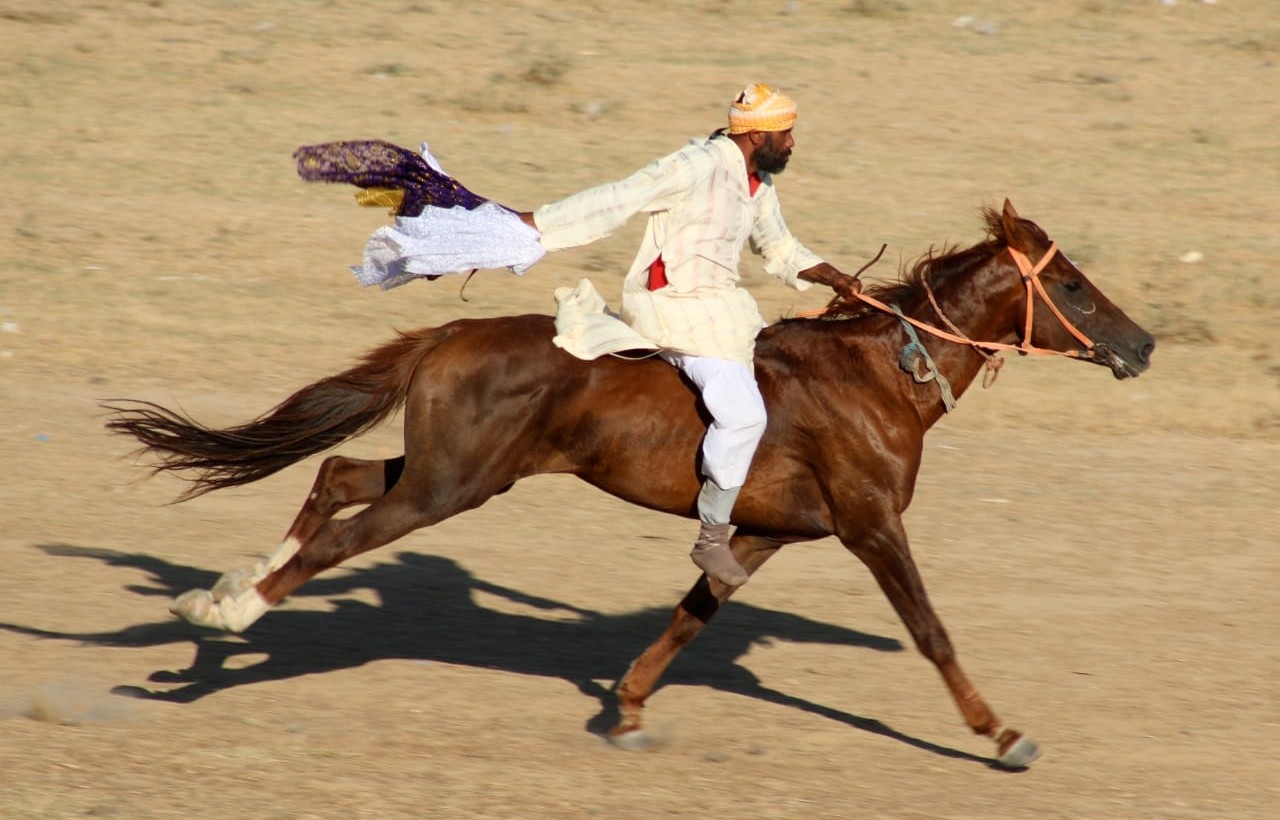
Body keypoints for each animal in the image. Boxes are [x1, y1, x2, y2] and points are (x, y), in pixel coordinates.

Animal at [104, 202, 1157, 762]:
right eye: (1072, 284)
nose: (1142, 343)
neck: (881, 377)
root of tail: (451, 331)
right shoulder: (869, 524)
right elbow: (932, 629)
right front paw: (1001, 732)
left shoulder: (761, 532)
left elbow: (692, 615)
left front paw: (630, 706)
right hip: (450, 488)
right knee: (338, 535)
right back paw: (227, 615)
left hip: (445, 469)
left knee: (334, 473)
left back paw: (224, 592)